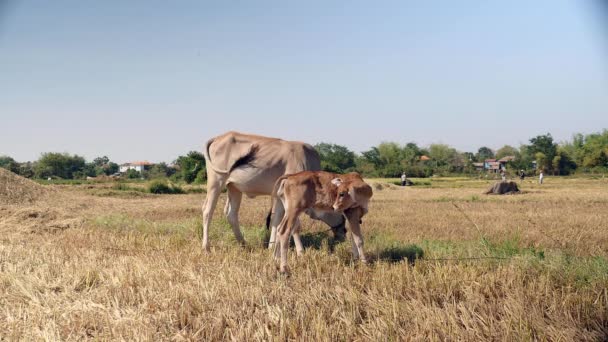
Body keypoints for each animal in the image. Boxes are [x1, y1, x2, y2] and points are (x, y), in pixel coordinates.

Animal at [202, 132, 346, 252]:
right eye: (341, 213)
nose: (344, 232)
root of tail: (218, 137)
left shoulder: (280, 197)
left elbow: (276, 220)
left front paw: (272, 247)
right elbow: (294, 225)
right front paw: (300, 251)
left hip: (234, 188)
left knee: (231, 214)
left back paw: (244, 244)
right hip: (216, 182)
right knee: (207, 211)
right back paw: (206, 247)